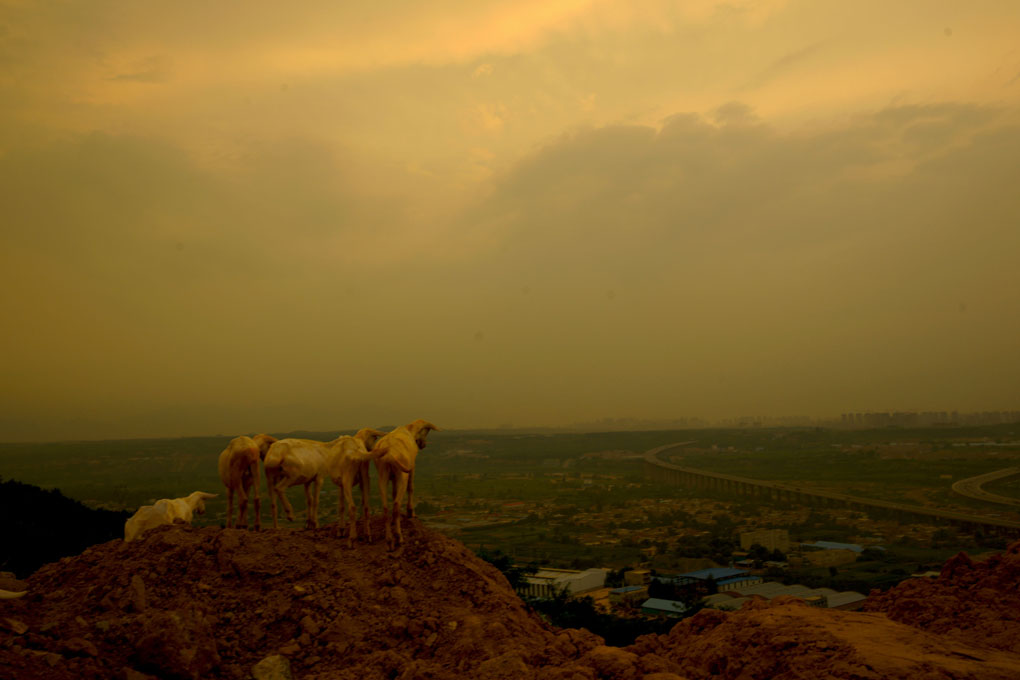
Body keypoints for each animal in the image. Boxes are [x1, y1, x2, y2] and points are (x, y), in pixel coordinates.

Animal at [373, 417, 440, 550]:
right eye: (426, 431)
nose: (423, 444)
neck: (409, 431)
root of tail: (389, 452)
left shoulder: (393, 478)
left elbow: (393, 493)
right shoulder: (411, 467)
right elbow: (411, 487)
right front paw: (411, 512)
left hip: (382, 476)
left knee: (386, 507)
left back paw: (389, 541)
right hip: (402, 475)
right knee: (396, 505)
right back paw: (399, 538)